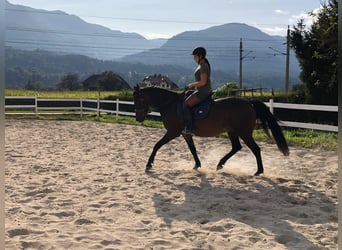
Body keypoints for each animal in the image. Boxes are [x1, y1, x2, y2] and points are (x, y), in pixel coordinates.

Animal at [134, 86, 288, 176]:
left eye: (138, 99)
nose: (138, 118)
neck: (171, 104)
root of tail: (249, 103)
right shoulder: (185, 134)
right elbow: (193, 149)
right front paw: (197, 165)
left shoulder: (173, 132)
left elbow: (157, 145)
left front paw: (149, 164)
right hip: (232, 131)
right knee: (236, 147)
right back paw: (220, 164)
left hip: (244, 132)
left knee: (255, 149)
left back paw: (258, 171)